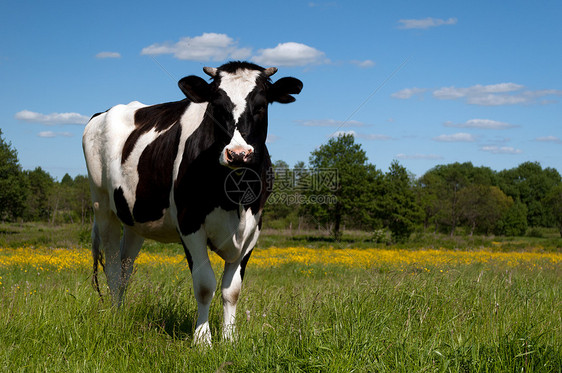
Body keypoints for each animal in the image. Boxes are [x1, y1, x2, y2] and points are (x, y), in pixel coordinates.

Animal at [82, 61, 302, 342]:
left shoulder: (253, 229)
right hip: (102, 206)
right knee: (111, 267)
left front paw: (229, 339)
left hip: (134, 220)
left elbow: (232, 290)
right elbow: (205, 284)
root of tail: (104, 113)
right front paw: (202, 339)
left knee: (124, 268)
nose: (238, 154)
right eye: (216, 106)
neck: (235, 196)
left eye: (261, 104)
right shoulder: (189, 223)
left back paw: (121, 315)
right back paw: (113, 318)